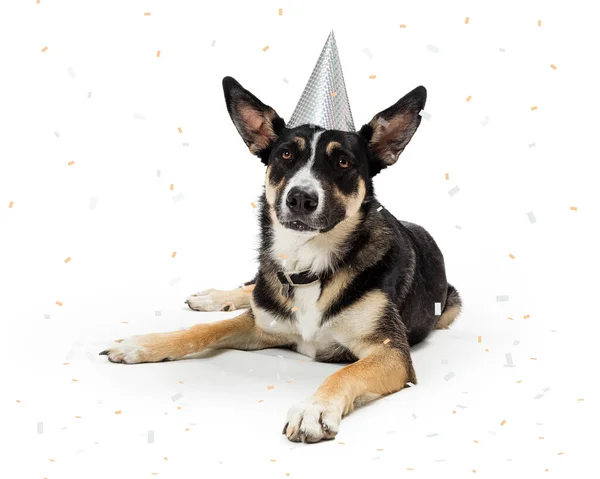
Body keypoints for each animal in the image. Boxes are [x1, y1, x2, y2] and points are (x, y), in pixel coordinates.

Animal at [101, 76, 462, 446]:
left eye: (343, 162)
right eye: (286, 154)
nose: (300, 198)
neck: (310, 266)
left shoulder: (391, 352)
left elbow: (348, 372)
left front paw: (314, 409)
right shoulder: (262, 325)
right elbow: (204, 330)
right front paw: (144, 344)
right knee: (251, 288)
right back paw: (213, 297)